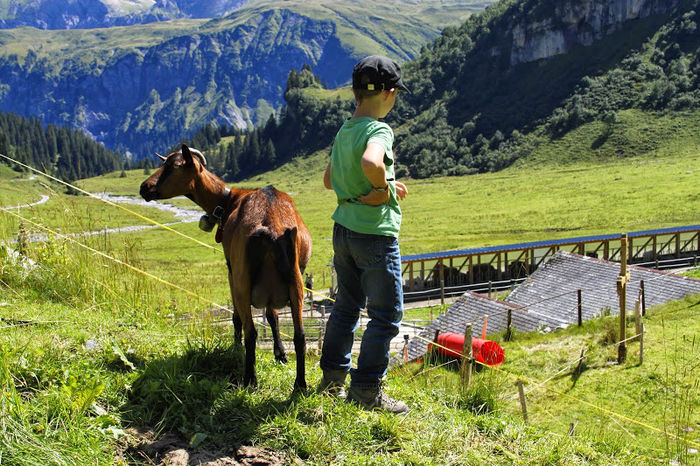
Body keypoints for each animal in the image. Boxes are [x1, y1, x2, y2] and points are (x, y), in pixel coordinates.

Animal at [139, 145, 312, 390]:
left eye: (173, 167)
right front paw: (280, 354)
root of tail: (270, 228)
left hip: (242, 279)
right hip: (295, 282)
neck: (229, 200)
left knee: (251, 331)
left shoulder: (231, 270)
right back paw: (300, 385)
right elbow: (273, 316)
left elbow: (238, 317)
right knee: (300, 335)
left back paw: (250, 379)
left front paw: (237, 349)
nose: (145, 188)